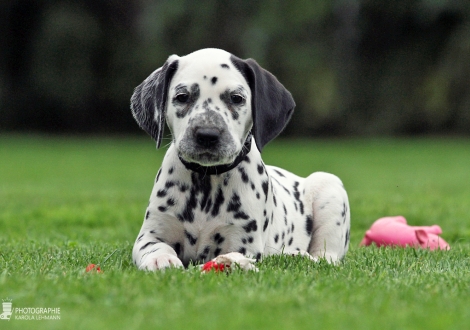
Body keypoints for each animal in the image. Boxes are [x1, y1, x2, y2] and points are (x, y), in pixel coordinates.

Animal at [130, 49, 350, 270]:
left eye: (236, 98)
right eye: (182, 96)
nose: (207, 134)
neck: (206, 183)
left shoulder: (242, 245)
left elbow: (228, 258)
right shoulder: (152, 233)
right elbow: (154, 246)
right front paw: (161, 259)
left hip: (330, 187)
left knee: (325, 257)